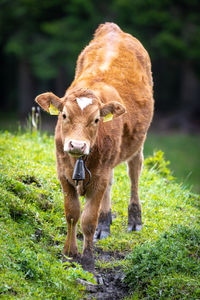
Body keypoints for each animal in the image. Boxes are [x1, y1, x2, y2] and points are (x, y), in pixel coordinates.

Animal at [36, 22, 154, 270]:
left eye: (97, 120)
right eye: (64, 115)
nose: (77, 144)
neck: (80, 159)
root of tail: (113, 29)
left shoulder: (98, 176)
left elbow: (88, 219)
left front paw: (88, 259)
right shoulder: (63, 174)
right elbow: (72, 213)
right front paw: (69, 252)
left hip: (138, 142)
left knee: (134, 171)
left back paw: (134, 218)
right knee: (111, 181)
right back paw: (105, 223)